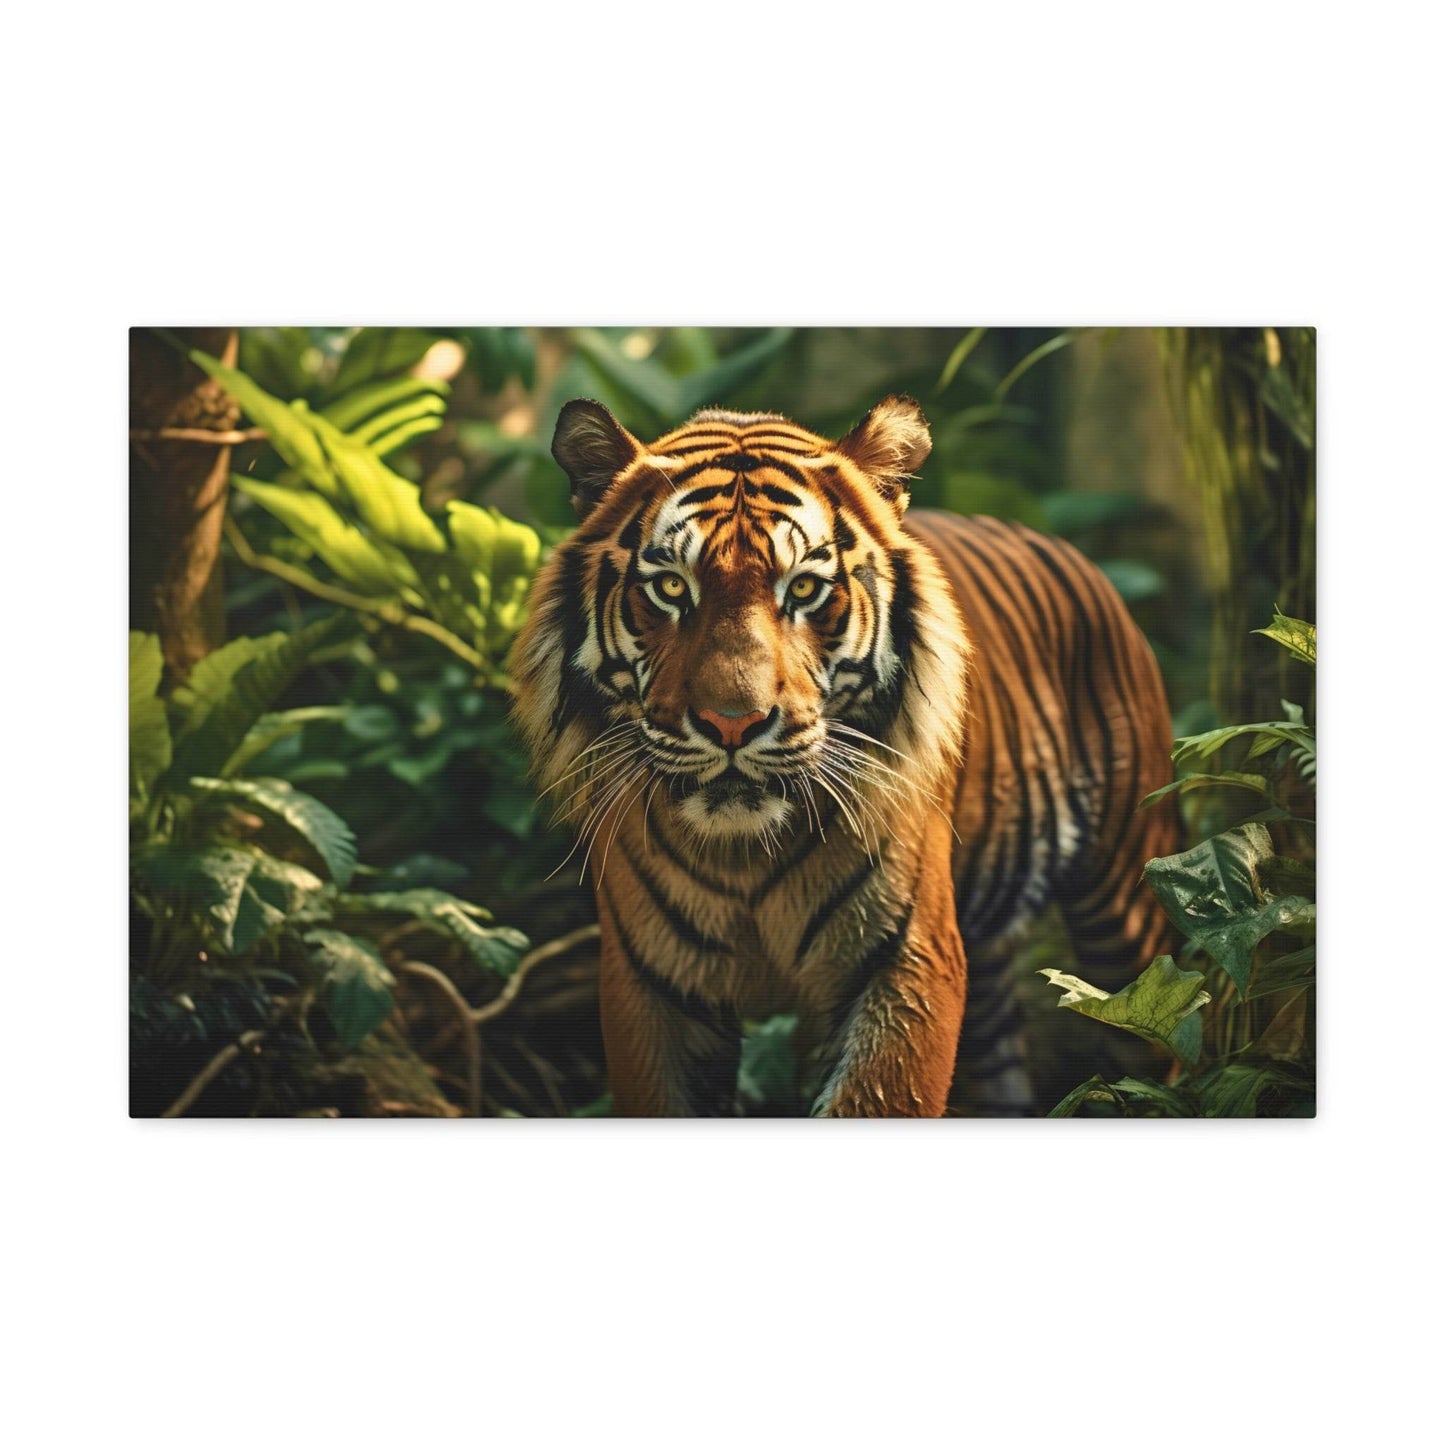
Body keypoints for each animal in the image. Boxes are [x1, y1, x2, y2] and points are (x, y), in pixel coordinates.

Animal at [511, 394, 1180, 1117]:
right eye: (669, 587)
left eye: (803, 590)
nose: (731, 723)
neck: (745, 857)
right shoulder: (651, 986)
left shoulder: (905, 961)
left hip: (1127, 908)